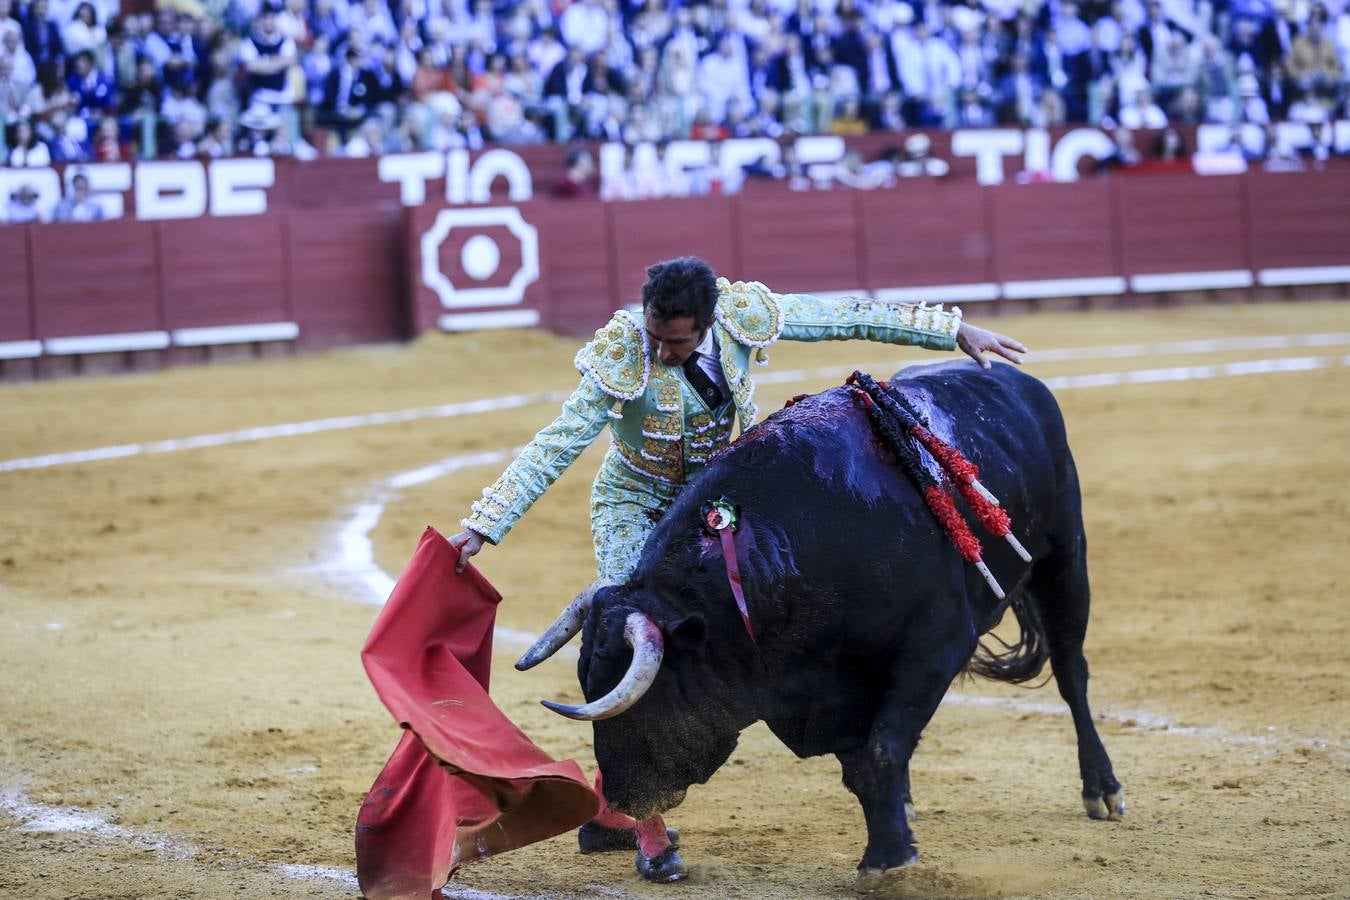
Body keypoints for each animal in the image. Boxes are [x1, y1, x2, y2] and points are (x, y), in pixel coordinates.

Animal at [575, 361, 1123, 885]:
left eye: (650, 693)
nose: (620, 797)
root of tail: (1016, 381)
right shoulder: (835, 688)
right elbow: (862, 764)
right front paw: (890, 841)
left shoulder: (937, 642)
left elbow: (878, 751)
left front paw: (889, 860)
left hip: (1064, 558)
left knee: (1071, 672)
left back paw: (1103, 790)